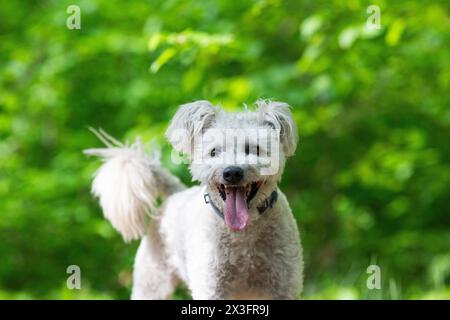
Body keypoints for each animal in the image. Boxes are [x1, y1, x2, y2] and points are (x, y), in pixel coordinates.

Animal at [84, 100, 302, 300]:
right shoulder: (211, 286)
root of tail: (174, 195)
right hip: (151, 283)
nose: (232, 172)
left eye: (254, 149)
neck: (243, 235)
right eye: (214, 151)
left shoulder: (284, 286)